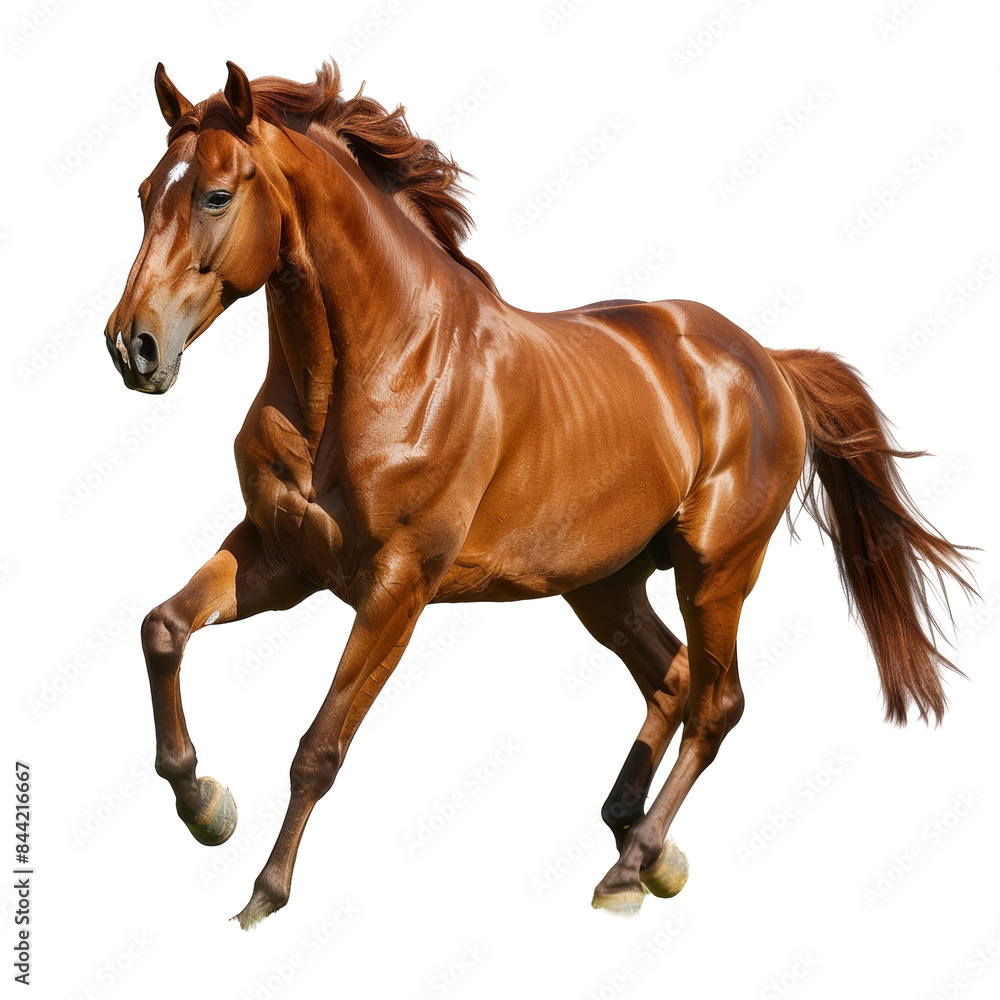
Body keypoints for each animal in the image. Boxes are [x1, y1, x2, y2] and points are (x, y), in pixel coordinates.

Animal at [104, 60, 975, 930]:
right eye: (145, 193)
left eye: (216, 195)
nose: (131, 345)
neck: (374, 371)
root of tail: (767, 361)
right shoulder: (282, 558)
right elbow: (162, 629)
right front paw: (204, 803)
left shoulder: (397, 586)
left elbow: (319, 747)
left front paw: (263, 895)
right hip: (605, 584)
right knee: (674, 677)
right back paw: (644, 846)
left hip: (716, 570)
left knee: (716, 702)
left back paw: (628, 868)